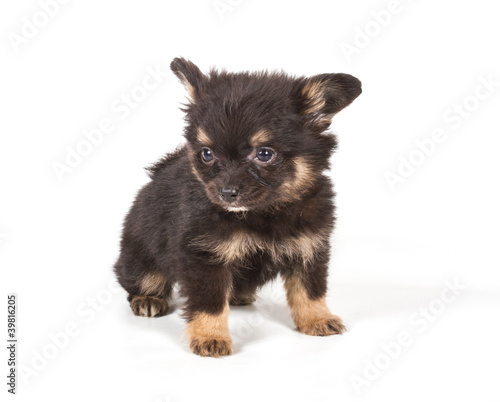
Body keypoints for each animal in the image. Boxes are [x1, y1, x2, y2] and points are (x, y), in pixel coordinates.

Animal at [115, 58, 362, 356]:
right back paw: (147, 299)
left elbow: (310, 290)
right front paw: (211, 336)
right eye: (207, 154)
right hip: (141, 259)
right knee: (141, 278)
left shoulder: (310, 247)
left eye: (264, 154)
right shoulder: (205, 257)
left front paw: (317, 318)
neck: (264, 213)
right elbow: (209, 303)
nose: (226, 192)